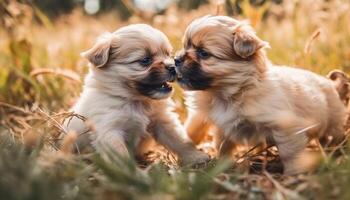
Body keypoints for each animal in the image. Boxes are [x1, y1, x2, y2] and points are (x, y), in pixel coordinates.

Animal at [64, 23, 209, 166]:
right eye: (145, 60)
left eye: (168, 54)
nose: (172, 67)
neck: (137, 101)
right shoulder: (110, 130)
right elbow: (121, 156)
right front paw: (134, 172)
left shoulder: (163, 121)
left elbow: (180, 141)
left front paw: (196, 156)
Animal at [176, 15, 346, 174]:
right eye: (185, 47)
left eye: (203, 53)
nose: (177, 59)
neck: (230, 93)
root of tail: (329, 83)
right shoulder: (224, 127)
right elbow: (222, 147)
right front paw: (224, 165)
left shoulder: (285, 126)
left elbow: (289, 154)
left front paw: (293, 173)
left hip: (333, 123)